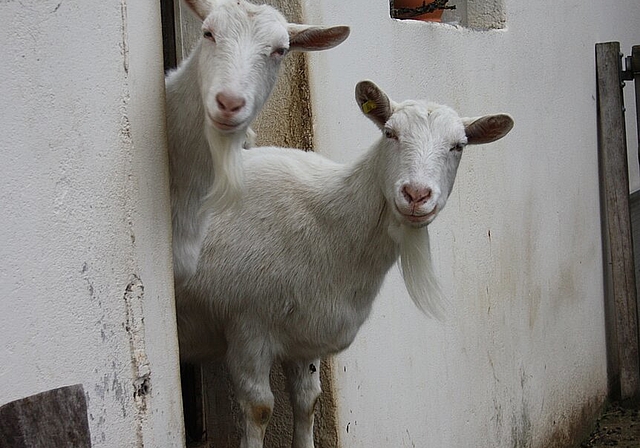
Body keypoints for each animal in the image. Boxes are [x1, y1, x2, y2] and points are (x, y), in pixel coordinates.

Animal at [181, 81, 516, 448]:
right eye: (389, 133)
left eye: (458, 146)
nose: (416, 195)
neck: (329, 223)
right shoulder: (246, 326)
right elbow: (259, 408)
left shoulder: (303, 334)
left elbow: (308, 400)